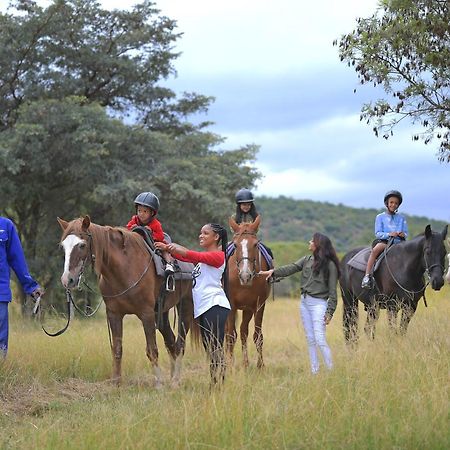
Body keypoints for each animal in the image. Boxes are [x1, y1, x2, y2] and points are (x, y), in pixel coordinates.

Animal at [57, 216, 192, 384]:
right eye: (63, 247)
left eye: (82, 245)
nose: (67, 280)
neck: (124, 268)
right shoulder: (114, 314)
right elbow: (117, 349)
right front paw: (116, 381)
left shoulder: (146, 314)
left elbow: (152, 350)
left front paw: (158, 383)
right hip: (162, 314)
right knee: (171, 342)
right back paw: (173, 377)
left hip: (185, 307)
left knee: (180, 344)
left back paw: (176, 380)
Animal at [225, 216, 270, 368]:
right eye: (235, 245)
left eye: (255, 244)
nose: (246, 276)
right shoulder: (231, 305)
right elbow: (230, 336)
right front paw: (230, 365)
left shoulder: (258, 305)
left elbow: (258, 336)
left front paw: (260, 365)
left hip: (247, 310)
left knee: (243, 331)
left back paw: (245, 363)